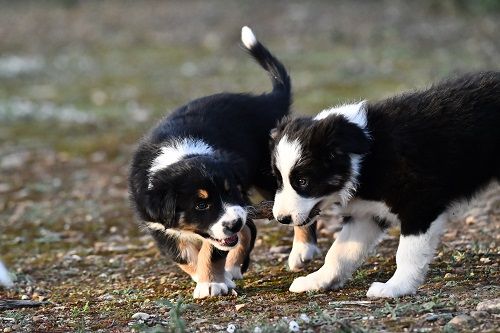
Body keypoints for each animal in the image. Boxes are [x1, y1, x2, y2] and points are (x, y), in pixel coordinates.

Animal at [130, 27, 292, 298]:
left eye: (229, 190)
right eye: (201, 204)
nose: (234, 222)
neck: (180, 153)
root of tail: (264, 101)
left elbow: (212, 250)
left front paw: (210, 283)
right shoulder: (157, 224)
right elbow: (183, 255)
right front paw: (208, 277)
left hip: (269, 177)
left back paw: (301, 252)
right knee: (248, 229)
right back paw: (234, 267)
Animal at [272, 72, 498, 296]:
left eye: (302, 181)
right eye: (279, 180)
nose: (282, 219)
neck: (365, 159)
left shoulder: (419, 203)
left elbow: (408, 252)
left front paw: (396, 287)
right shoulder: (365, 214)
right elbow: (339, 251)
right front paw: (318, 280)